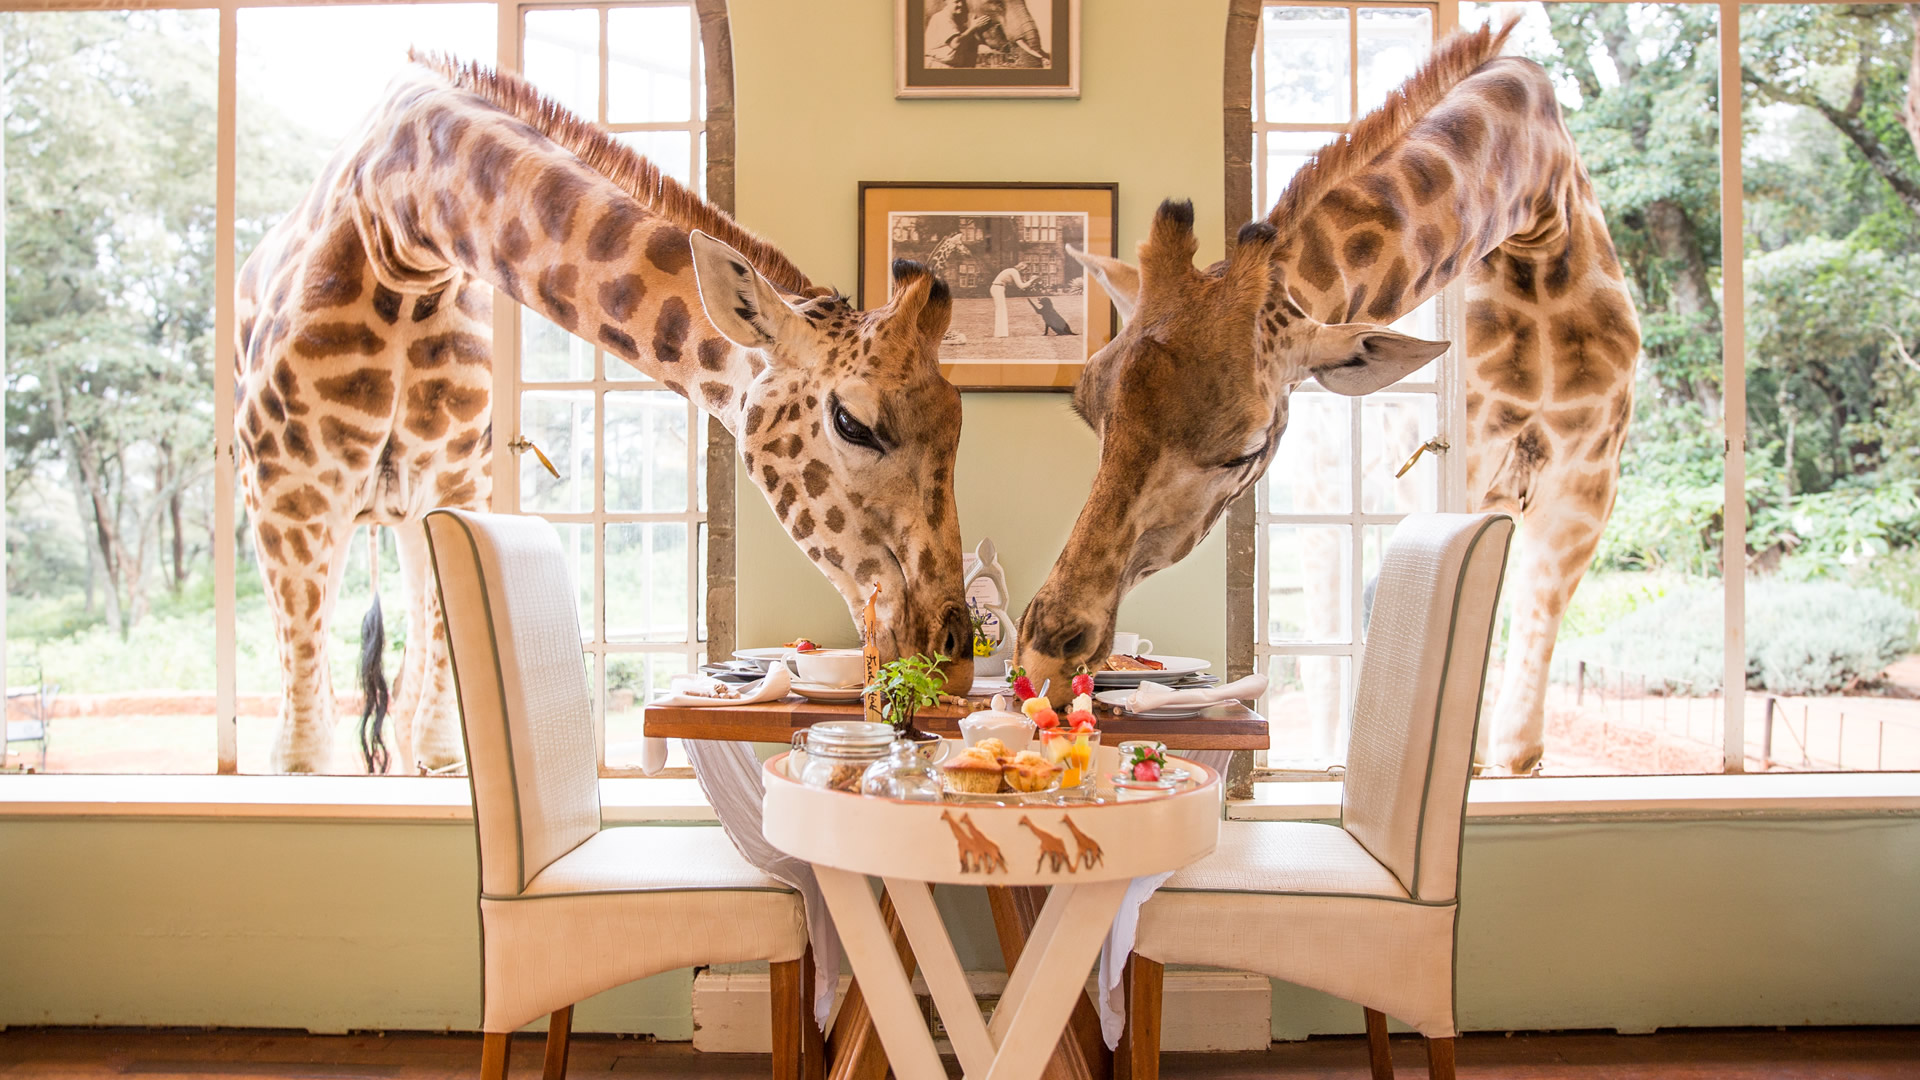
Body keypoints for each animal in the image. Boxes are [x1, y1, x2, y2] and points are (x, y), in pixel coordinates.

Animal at [236, 54, 975, 774]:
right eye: (853, 424)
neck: (402, 224)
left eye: (958, 425)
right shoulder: (288, 496)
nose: (955, 658)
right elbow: (301, 757)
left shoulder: (454, 486)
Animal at [1015, 18, 1639, 774]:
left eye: (1247, 448)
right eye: (1089, 410)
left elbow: (1517, 736)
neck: (1537, 215)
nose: (1044, 657)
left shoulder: (1582, 490)